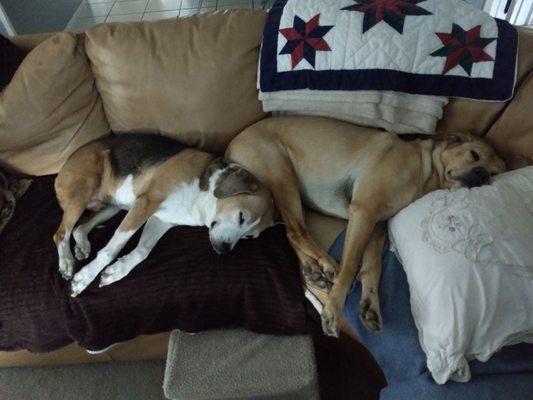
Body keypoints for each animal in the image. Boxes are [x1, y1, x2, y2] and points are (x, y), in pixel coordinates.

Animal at [54, 134, 276, 296]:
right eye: (241, 217)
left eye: (249, 237)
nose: (224, 250)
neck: (203, 196)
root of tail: (64, 164)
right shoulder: (147, 202)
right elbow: (111, 250)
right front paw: (84, 278)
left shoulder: (160, 220)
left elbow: (143, 251)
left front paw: (117, 271)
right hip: (83, 192)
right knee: (61, 233)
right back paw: (66, 263)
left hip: (114, 207)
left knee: (80, 228)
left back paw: (82, 245)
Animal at [223, 116, 502, 338]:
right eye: (474, 155)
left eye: (496, 172)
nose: (482, 176)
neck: (424, 171)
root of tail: (230, 146)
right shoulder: (364, 212)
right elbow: (349, 267)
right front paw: (334, 308)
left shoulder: (376, 225)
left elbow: (372, 267)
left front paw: (370, 305)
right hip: (282, 175)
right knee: (296, 231)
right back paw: (326, 263)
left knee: (291, 230)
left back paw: (313, 270)